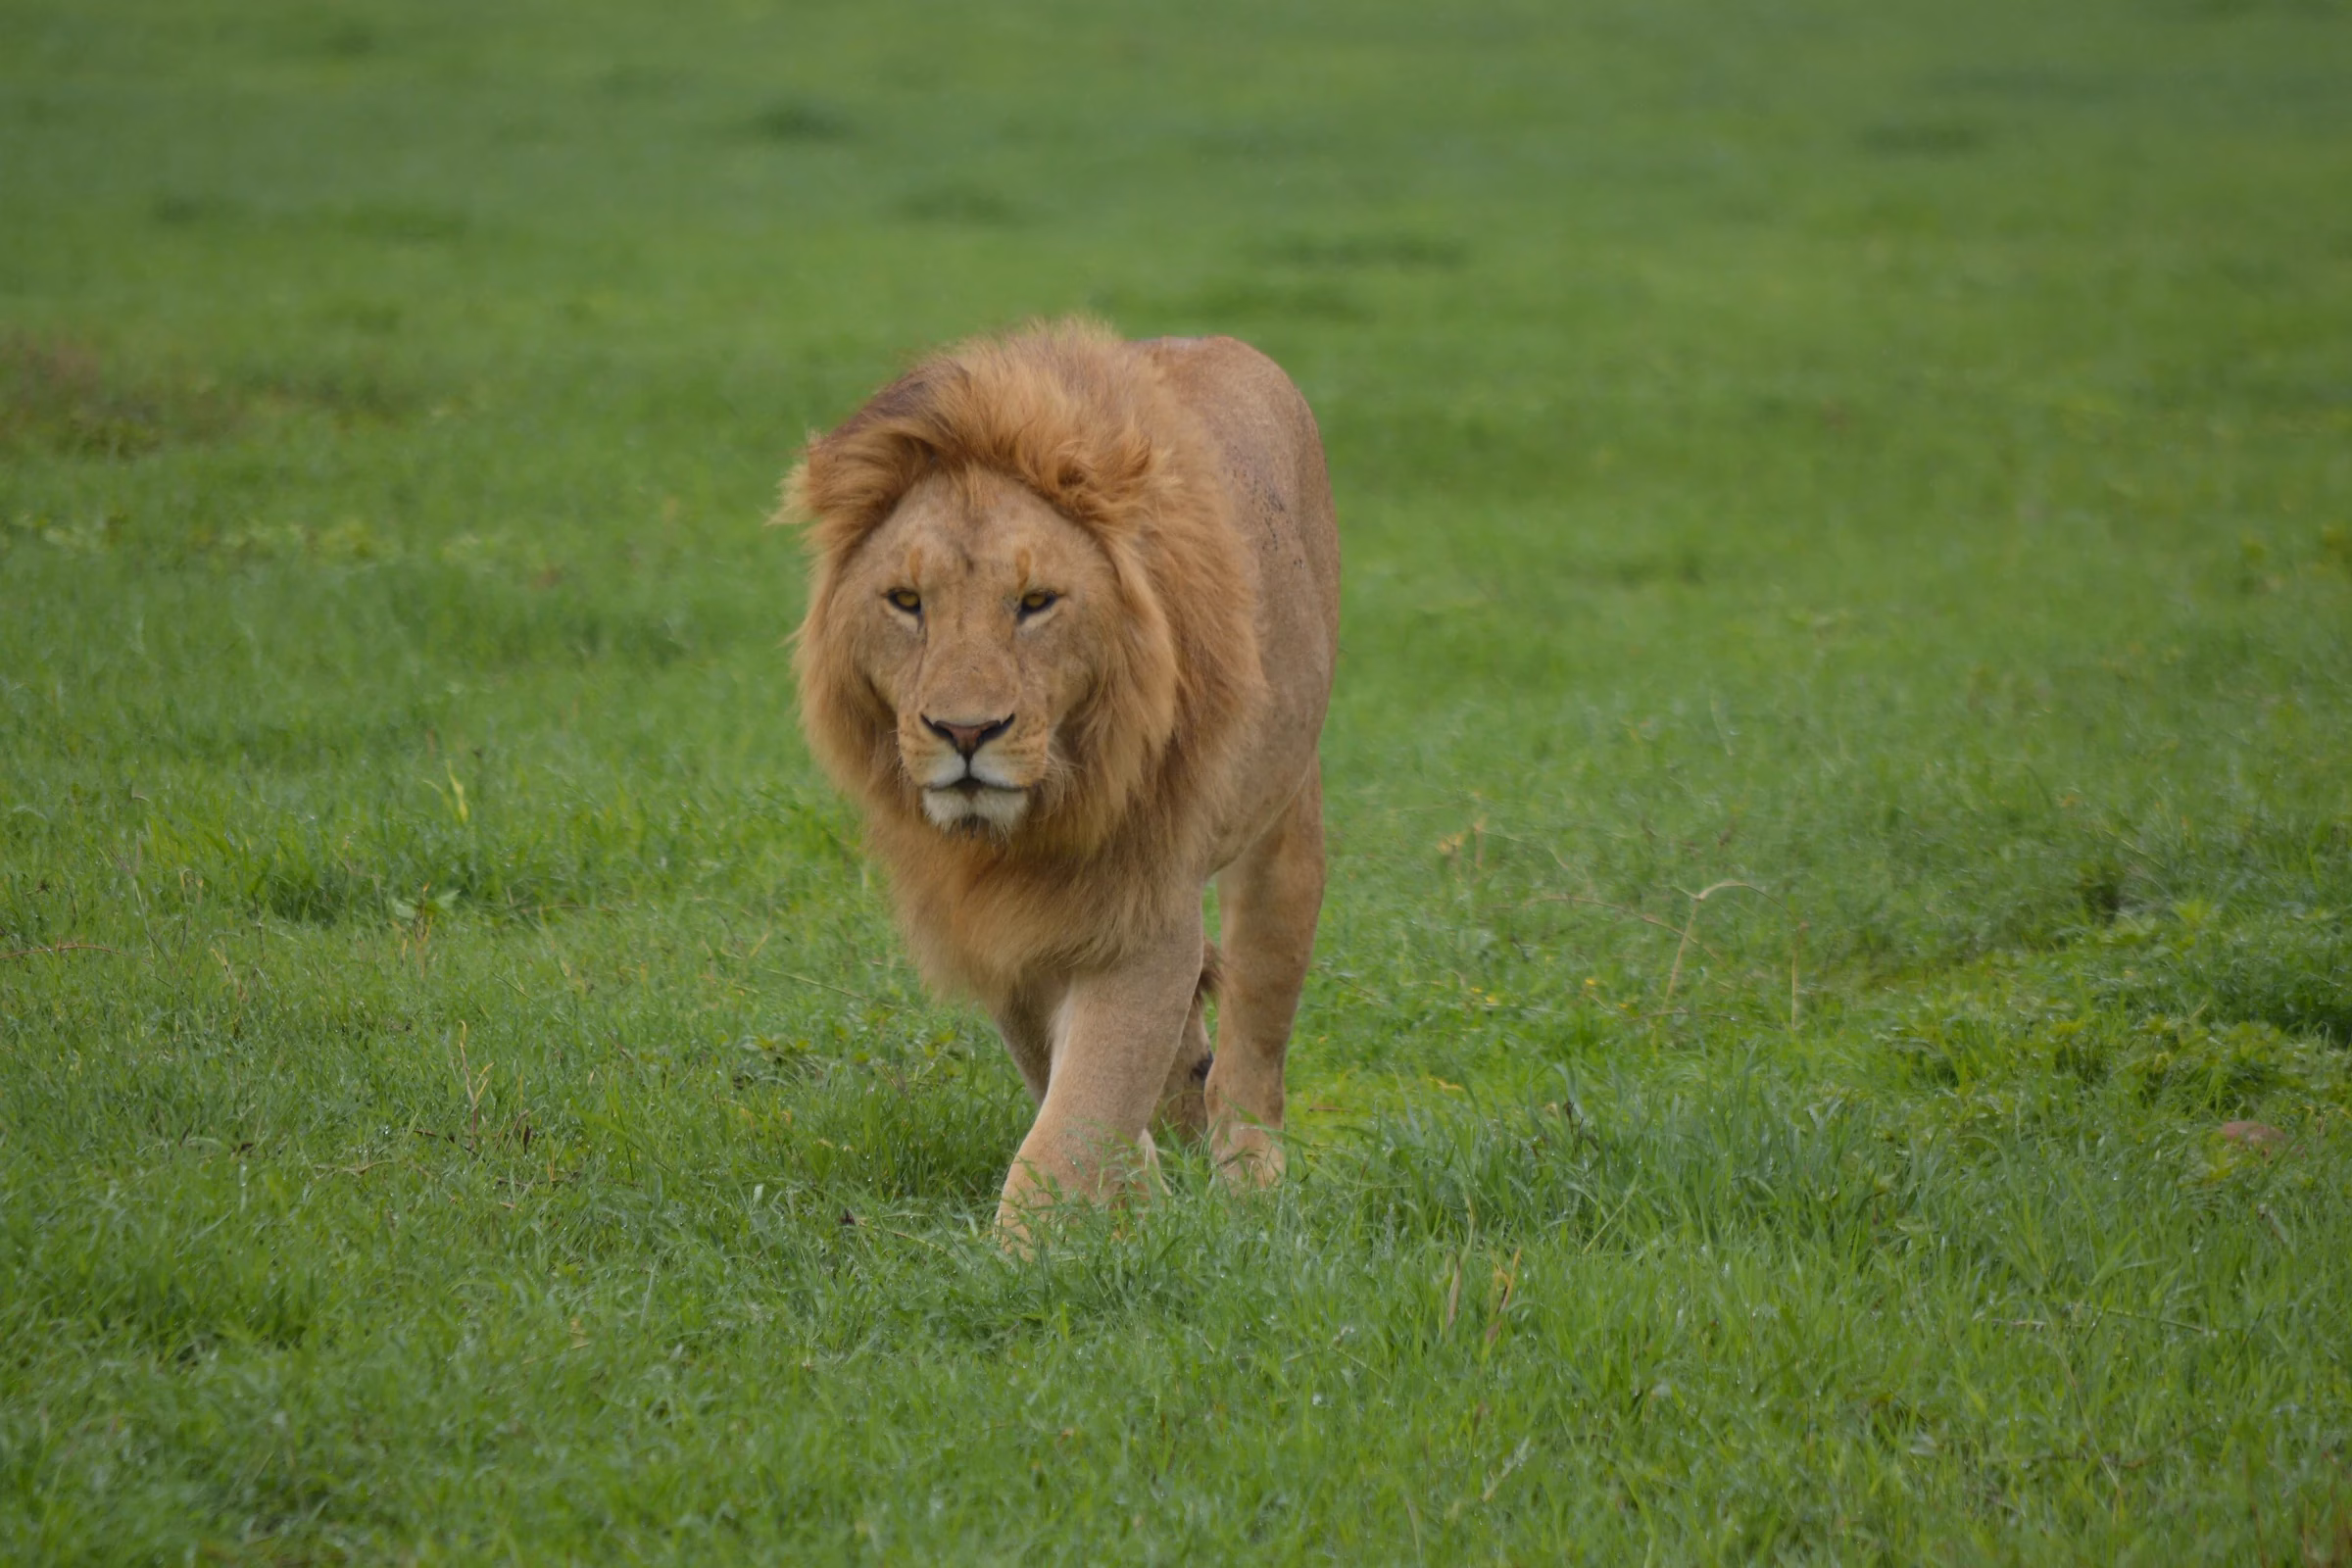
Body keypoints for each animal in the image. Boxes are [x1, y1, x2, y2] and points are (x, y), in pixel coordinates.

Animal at [785, 320, 1340, 1232]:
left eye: (1037, 602)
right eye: (906, 601)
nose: (965, 731)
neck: (1023, 829)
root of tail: (1223, 339)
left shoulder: (1146, 915)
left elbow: (1076, 1121)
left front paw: (1029, 1250)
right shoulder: (1003, 932)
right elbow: (1074, 1089)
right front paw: (1138, 1207)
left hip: (1285, 823)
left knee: (1255, 1043)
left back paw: (1250, 1181)